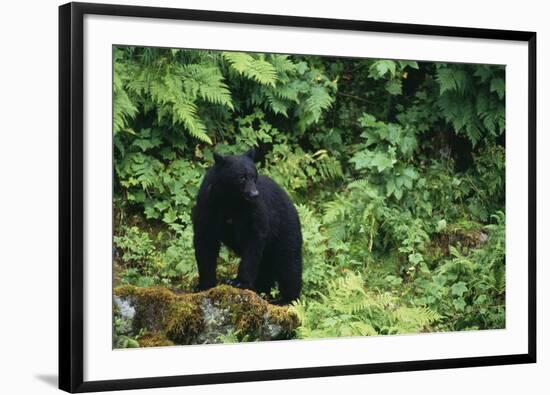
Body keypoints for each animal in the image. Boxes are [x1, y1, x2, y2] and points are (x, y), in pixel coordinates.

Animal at [193, 148, 306, 304]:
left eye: (254, 176)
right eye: (242, 177)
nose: (254, 194)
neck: (230, 200)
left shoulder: (253, 210)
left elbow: (253, 239)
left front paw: (239, 282)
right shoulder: (208, 205)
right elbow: (205, 240)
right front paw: (204, 284)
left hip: (285, 228)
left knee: (289, 263)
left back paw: (287, 299)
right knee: (267, 266)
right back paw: (261, 290)